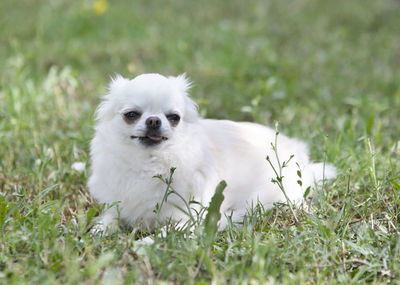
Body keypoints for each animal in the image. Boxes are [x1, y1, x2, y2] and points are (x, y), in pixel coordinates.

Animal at [89, 73, 336, 231]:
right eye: (131, 115)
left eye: (174, 117)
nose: (153, 121)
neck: (149, 164)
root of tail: (299, 153)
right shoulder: (119, 202)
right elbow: (109, 217)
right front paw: (99, 230)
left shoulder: (192, 218)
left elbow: (167, 233)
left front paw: (147, 244)